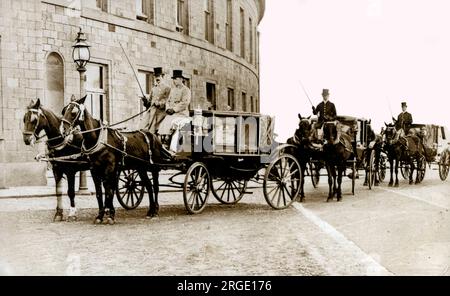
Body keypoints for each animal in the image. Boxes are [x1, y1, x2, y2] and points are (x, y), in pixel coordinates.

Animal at [60, 95, 161, 224]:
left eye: (73, 112)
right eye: (63, 111)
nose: (63, 130)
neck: (98, 140)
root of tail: (151, 134)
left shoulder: (110, 168)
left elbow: (108, 190)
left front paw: (110, 214)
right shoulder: (94, 170)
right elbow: (100, 192)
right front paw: (100, 215)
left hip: (152, 167)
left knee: (154, 186)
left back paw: (155, 211)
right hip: (140, 167)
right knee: (148, 185)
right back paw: (150, 211)